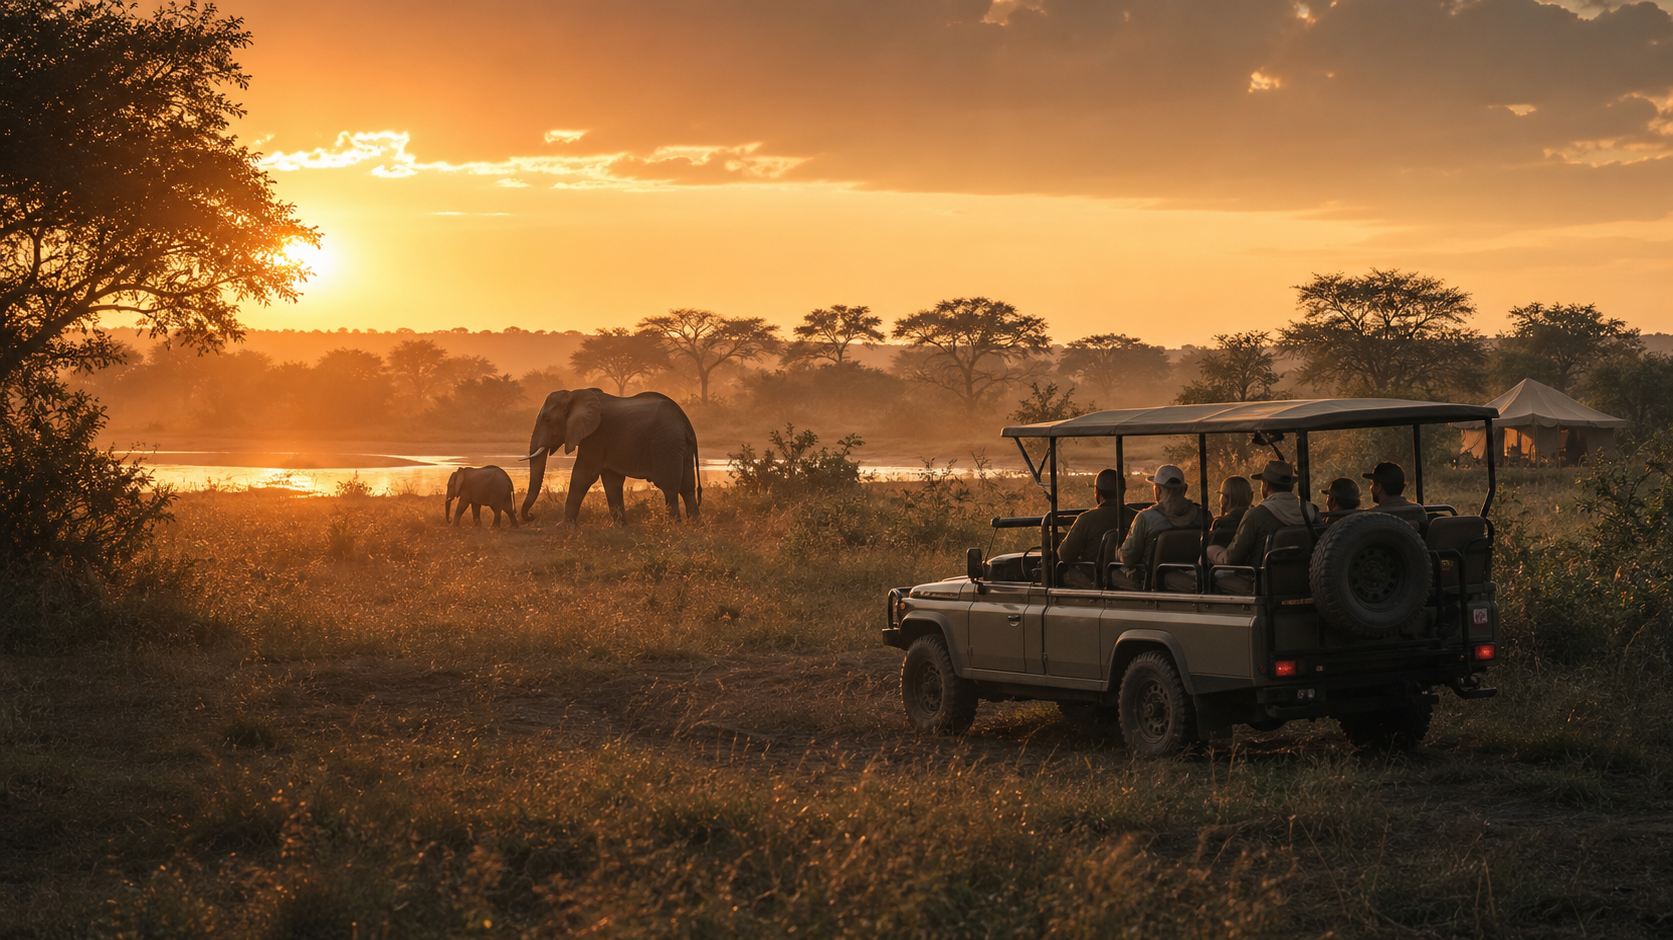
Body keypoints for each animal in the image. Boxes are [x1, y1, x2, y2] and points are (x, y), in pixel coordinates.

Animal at [519, 388, 700, 525]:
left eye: (547, 419)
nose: (531, 516)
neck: (573, 394)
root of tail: (686, 424)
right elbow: (612, 480)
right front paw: (620, 526)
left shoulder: (595, 435)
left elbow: (583, 475)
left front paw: (563, 527)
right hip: (681, 449)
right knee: (687, 487)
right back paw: (695, 525)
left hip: (666, 446)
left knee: (669, 486)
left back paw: (672, 526)